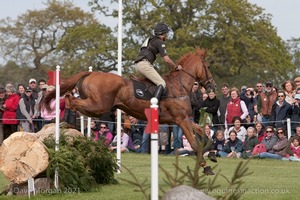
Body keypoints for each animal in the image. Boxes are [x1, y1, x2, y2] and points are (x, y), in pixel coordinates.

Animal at [43, 47, 217, 174]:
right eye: (208, 67)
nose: (213, 86)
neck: (179, 86)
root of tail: (92, 73)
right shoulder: (181, 120)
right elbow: (194, 143)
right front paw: (206, 166)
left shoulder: (185, 119)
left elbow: (203, 133)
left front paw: (212, 153)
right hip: (98, 106)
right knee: (71, 101)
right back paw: (65, 122)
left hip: (96, 108)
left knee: (75, 104)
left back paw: (65, 124)